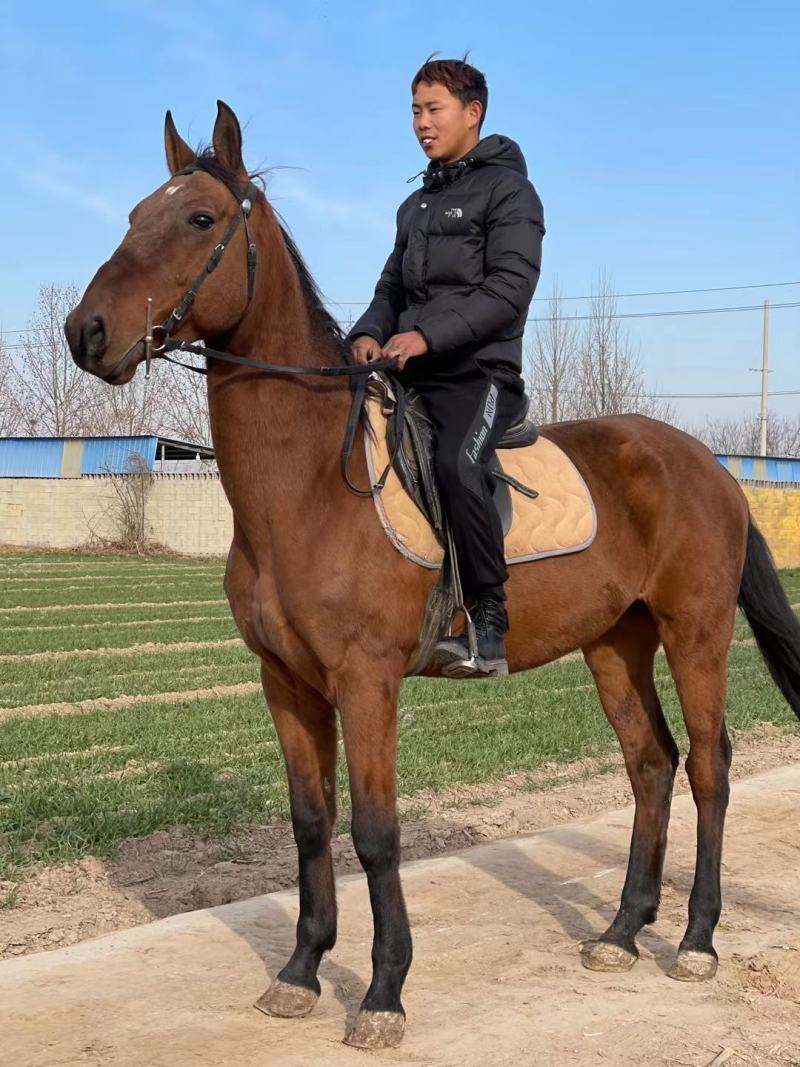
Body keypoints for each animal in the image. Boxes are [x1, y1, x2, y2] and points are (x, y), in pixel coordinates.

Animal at [65, 101, 800, 1050]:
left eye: (198, 219)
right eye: (130, 216)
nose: (86, 333)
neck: (310, 482)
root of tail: (709, 465)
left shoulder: (366, 681)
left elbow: (375, 832)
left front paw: (383, 992)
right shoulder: (286, 684)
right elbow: (311, 824)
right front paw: (300, 972)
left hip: (695, 630)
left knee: (710, 765)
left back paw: (697, 939)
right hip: (616, 642)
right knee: (651, 763)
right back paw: (620, 931)